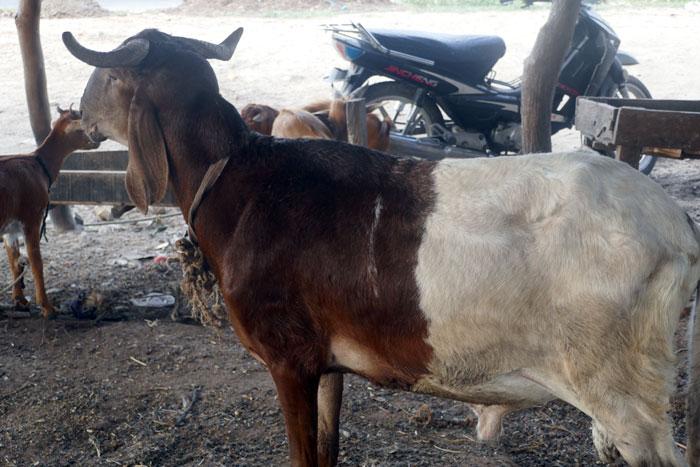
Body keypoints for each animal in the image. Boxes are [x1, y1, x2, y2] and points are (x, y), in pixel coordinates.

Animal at [1, 107, 99, 317]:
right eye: (80, 124)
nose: (97, 140)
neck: (38, 163)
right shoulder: (32, 218)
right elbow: (36, 261)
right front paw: (47, 307)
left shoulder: (9, 227)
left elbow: (15, 262)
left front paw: (20, 301)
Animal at [64, 27, 700, 467]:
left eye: (106, 80)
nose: (76, 115)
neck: (240, 184)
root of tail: (677, 227)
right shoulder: (326, 363)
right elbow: (326, 449)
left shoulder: (287, 358)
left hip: (622, 390)